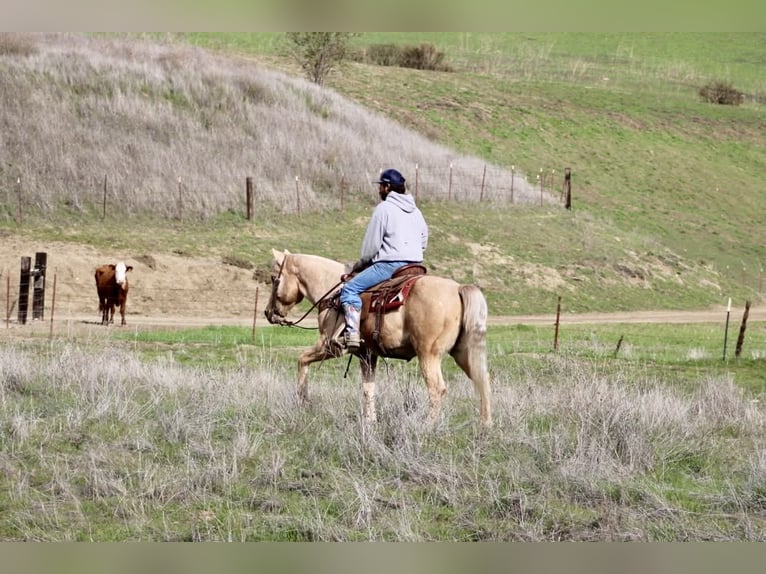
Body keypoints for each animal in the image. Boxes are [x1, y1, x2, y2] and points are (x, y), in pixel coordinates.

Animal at [264, 249, 492, 427]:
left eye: (275, 279)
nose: (268, 312)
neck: (332, 294)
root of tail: (458, 288)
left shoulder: (329, 346)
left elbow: (301, 359)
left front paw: (303, 401)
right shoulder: (367, 355)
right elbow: (368, 388)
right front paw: (370, 421)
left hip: (429, 355)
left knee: (437, 389)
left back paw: (428, 426)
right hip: (462, 352)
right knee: (482, 380)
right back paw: (485, 424)